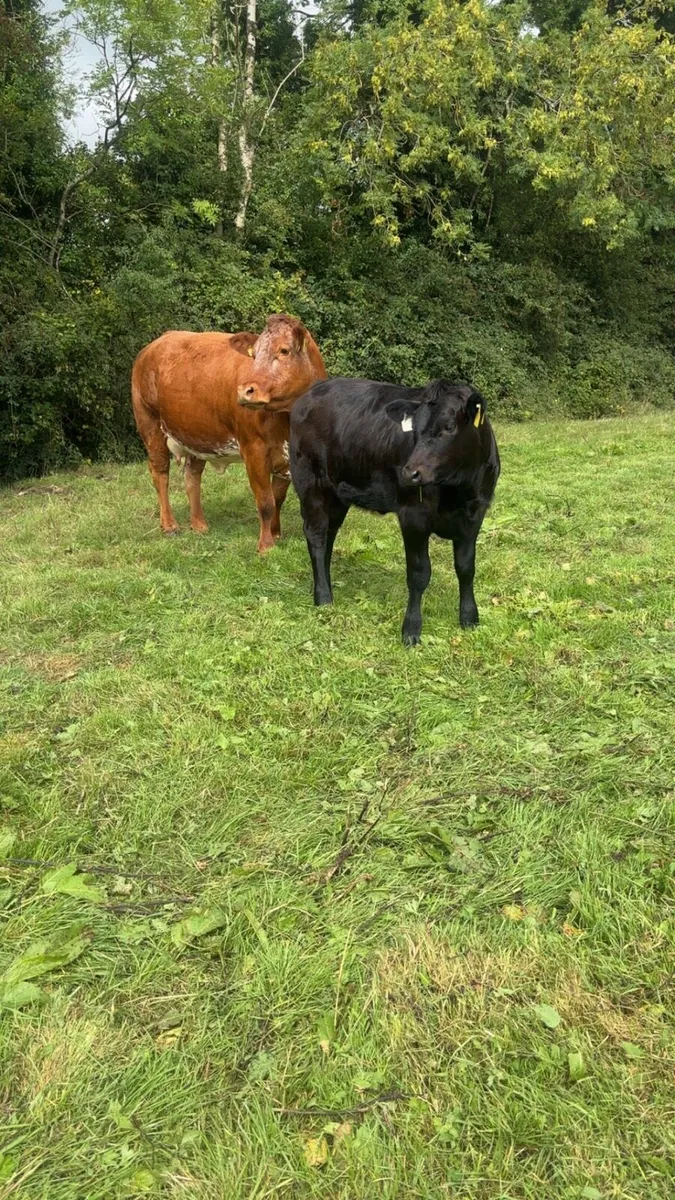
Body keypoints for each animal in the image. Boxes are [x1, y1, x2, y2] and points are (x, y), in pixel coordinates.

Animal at [131, 314, 327, 551]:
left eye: (284, 350)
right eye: (254, 354)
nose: (245, 391)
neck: (287, 420)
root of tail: (158, 341)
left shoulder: (290, 455)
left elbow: (278, 496)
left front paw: (276, 533)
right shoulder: (253, 450)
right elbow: (266, 501)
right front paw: (266, 545)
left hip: (197, 434)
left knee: (192, 475)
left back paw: (199, 524)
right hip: (149, 422)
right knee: (160, 472)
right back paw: (169, 525)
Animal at [290, 378, 500, 645]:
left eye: (450, 427)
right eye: (415, 431)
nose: (410, 472)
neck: (458, 491)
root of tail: (314, 389)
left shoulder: (475, 515)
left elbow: (466, 568)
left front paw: (469, 618)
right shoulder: (413, 516)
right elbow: (419, 574)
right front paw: (411, 630)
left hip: (338, 494)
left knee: (329, 535)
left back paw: (325, 585)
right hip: (310, 483)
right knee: (316, 536)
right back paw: (323, 597)